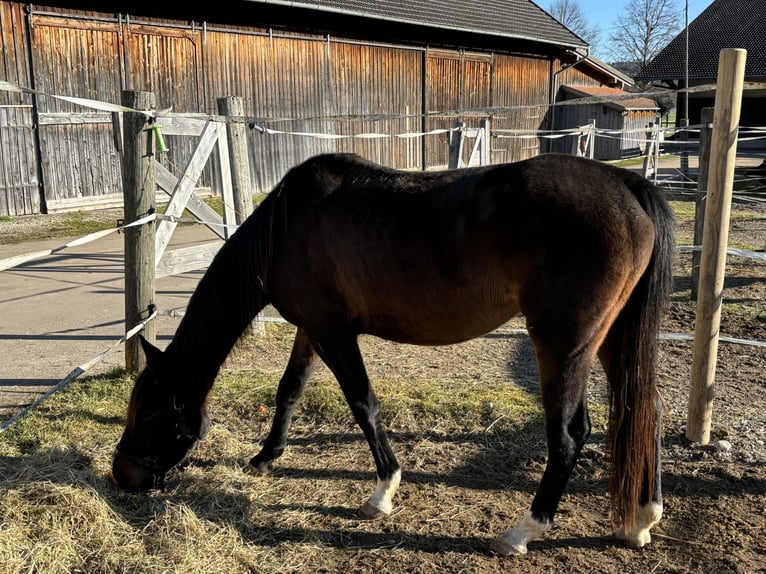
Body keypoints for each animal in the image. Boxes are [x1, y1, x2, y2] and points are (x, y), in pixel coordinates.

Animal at [111, 154, 676, 560]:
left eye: (152, 412)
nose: (122, 475)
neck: (287, 225)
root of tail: (630, 187)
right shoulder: (312, 330)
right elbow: (289, 389)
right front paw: (266, 456)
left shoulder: (334, 333)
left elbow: (363, 404)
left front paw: (383, 492)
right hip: (611, 339)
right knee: (642, 411)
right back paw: (642, 520)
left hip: (563, 343)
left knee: (569, 436)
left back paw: (522, 532)